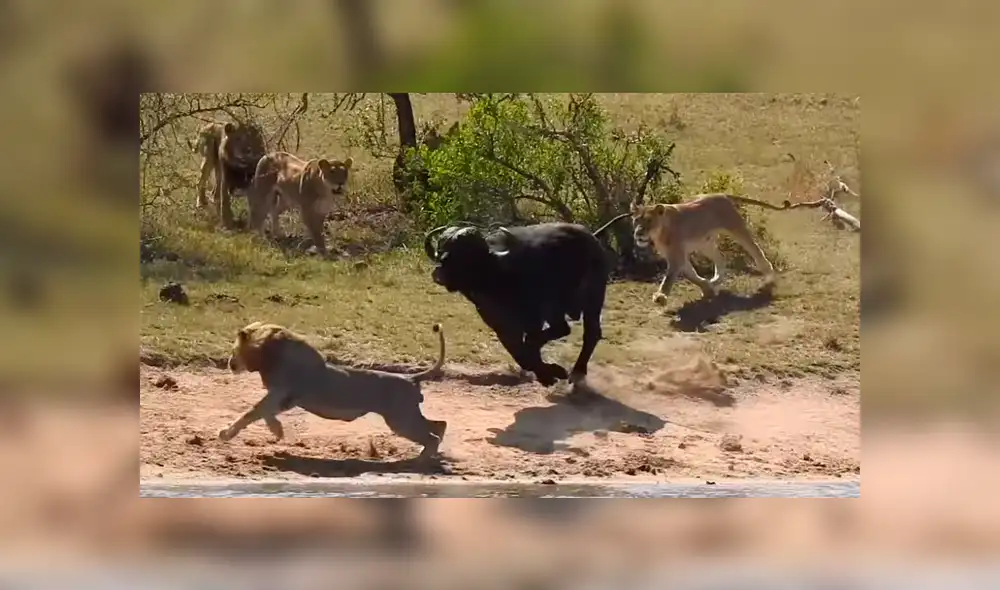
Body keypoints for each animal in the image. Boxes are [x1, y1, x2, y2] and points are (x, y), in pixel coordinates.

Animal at [218, 321, 448, 462]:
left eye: (234, 350)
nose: (230, 363)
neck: (273, 353)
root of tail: (411, 378)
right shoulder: (286, 398)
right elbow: (263, 412)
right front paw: (277, 430)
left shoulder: (283, 392)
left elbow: (254, 411)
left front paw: (226, 434)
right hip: (406, 416)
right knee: (440, 425)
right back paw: (430, 455)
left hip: (401, 420)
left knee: (432, 436)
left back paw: (417, 460)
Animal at [630, 193, 792, 304]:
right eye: (637, 220)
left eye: (649, 221)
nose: (639, 233)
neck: (660, 232)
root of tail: (722, 194)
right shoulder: (678, 255)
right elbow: (692, 275)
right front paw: (707, 289)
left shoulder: (677, 256)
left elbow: (669, 278)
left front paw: (661, 296)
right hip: (705, 244)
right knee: (722, 260)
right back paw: (715, 281)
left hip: (737, 230)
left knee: (756, 251)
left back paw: (769, 276)